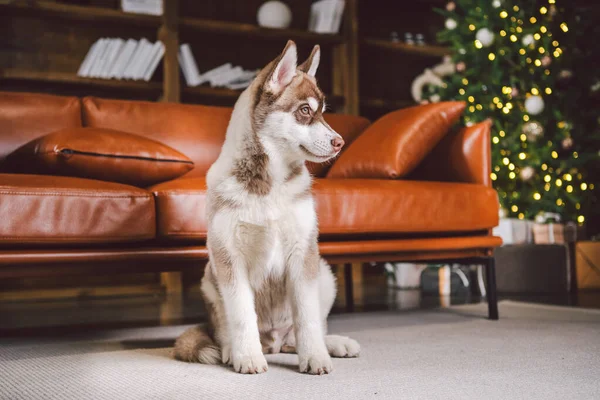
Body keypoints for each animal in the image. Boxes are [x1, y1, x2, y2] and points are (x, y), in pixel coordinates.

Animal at [175, 39, 360, 374]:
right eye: (304, 111)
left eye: (322, 113)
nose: (340, 142)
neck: (269, 184)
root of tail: (274, 341)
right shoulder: (229, 257)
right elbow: (241, 314)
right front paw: (247, 356)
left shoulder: (303, 251)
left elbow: (307, 317)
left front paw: (315, 356)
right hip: (210, 277)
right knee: (225, 331)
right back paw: (232, 351)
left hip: (324, 273)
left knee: (299, 334)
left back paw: (333, 343)